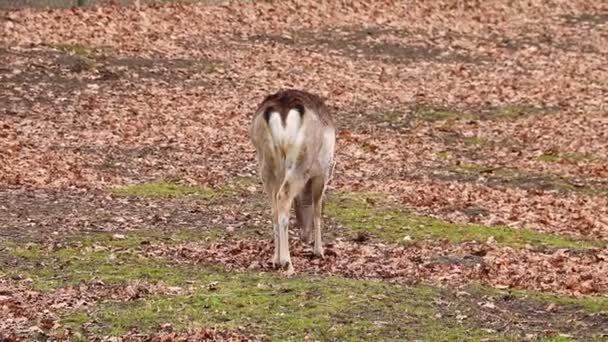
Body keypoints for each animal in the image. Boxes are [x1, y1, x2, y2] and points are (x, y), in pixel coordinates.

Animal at [251, 89, 338, 274]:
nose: (305, 237)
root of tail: (283, 110)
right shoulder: (321, 173)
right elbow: (317, 208)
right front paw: (319, 251)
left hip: (266, 161)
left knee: (274, 206)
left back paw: (276, 260)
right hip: (301, 161)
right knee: (283, 196)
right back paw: (287, 263)